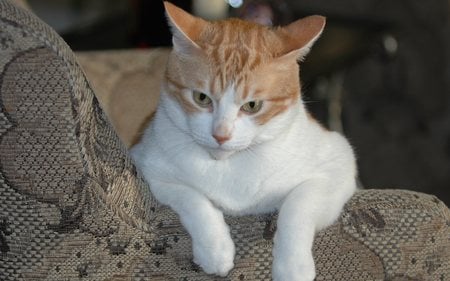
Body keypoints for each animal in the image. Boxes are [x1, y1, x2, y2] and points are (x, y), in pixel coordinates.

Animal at [129, 2, 356, 280]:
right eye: (202, 98)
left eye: (252, 105)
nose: (221, 134)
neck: (229, 165)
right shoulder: (148, 165)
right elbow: (191, 197)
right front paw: (215, 249)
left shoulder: (338, 164)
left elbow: (298, 205)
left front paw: (292, 265)